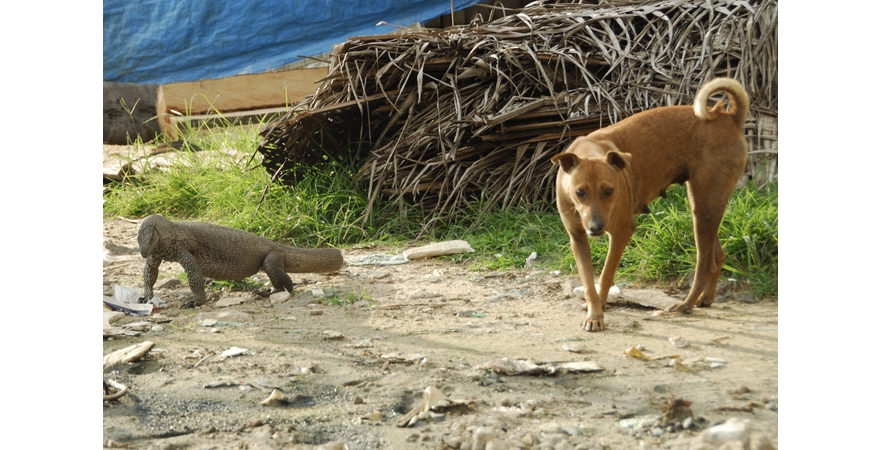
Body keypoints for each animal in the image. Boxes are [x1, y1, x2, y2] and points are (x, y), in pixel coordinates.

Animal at [552, 77, 744, 330]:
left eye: (609, 191)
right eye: (579, 192)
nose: (595, 228)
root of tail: (729, 117)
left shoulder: (622, 231)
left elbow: (605, 275)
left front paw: (600, 309)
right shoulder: (577, 238)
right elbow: (588, 282)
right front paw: (594, 313)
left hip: (704, 210)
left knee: (705, 265)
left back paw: (686, 305)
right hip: (706, 206)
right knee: (718, 256)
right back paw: (705, 299)